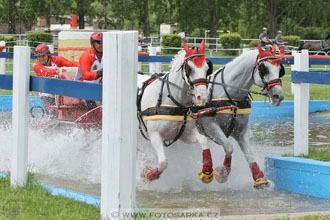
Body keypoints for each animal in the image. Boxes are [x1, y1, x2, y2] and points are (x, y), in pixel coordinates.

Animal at [137, 40, 213, 182]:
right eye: (190, 69)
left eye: (207, 68)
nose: (203, 97)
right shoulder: (154, 135)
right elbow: (163, 162)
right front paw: (150, 175)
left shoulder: (186, 135)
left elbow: (203, 140)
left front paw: (207, 170)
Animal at [196, 43, 286, 189]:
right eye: (264, 69)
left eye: (280, 69)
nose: (279, 96)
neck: (230, 97)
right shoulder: (210, 126)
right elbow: (229, 147)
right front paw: (223, 173)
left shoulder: (240, 131)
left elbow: (249, 154)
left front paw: (260, 178)